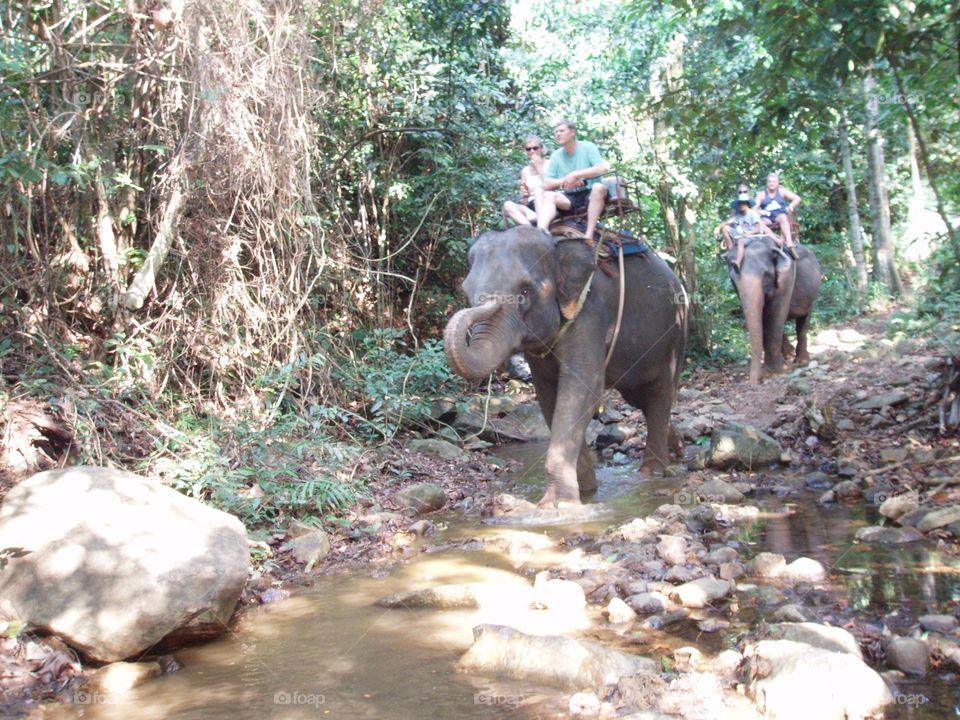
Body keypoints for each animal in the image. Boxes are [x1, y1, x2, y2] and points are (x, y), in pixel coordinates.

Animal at [444, 225, 687, 507]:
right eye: (467, 291)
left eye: (525, 291)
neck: (557, 244)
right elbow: (549, 397)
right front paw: (587, 492)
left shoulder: (590, 314)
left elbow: (581, 392)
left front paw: (557, 505)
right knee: (642, 399)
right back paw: (678, 448)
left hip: (675, 333)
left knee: (659, 394)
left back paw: (652, 473)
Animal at [724, 236, 821, 384]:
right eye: (733, 278)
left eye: (766, 275)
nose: (754, 383)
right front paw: (771, 371)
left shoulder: (787, 279)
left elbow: (775, 315)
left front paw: (774, 373)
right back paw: (788, 356)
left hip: (813, 294)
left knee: (803, 322)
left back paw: (801, 361)